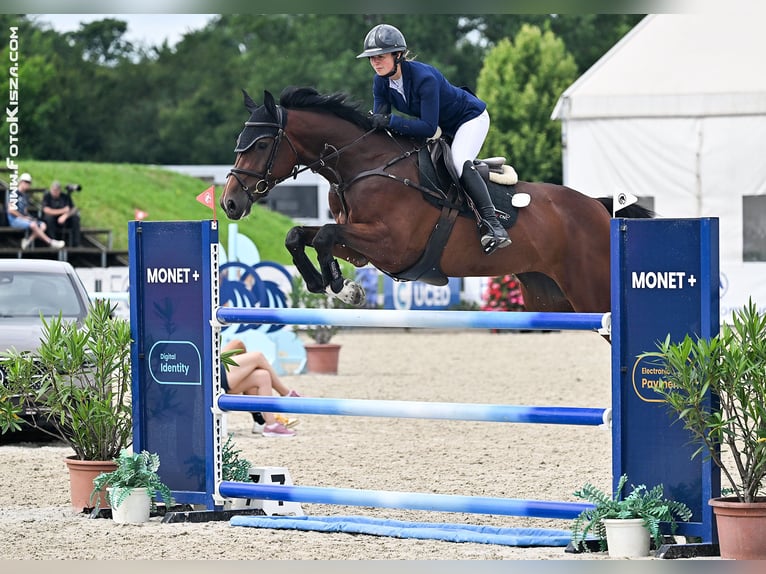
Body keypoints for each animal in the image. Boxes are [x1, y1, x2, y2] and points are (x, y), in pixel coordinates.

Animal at [222, 86, 656, 316]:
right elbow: (300, 235)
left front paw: (343, 288)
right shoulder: (361, 248)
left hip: (591, 294)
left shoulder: (391, 244)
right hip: (549, 296)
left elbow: (326, 235)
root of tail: (597, 208)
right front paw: (332, 286)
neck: (361, 166)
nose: (229, 203)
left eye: (261, 144)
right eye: (240, 140)